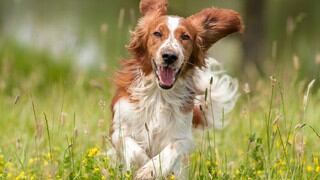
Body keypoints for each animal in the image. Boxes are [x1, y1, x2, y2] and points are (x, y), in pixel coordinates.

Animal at [110, 0, 242, 179]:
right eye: (157, 33)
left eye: (185, 37)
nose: (170, 56)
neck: (159, 94)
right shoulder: (118, 128)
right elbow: (131, 146)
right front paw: (143, 165)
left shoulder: (183, 135)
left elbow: (174, 147)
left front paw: (151, 169)